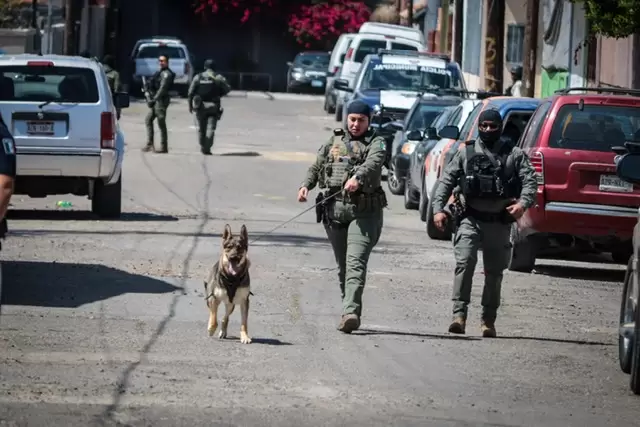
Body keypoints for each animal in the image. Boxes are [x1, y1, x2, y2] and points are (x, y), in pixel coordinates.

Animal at [298, 100, 388, 334]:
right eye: (353, 119)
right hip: (336, 232)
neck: (355, 137)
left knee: (351, 265)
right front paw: (304, 189)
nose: (354, 125)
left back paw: (350, 317)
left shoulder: (379, 147)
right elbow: (318, 163)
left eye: (360, 119)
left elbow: (373, 158)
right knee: (342, 265)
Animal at [432, 108, 536, 340]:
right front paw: (457, 320)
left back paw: (488, 324)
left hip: (498, 245)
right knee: (471, 265)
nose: (486, 129)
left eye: (492, 125)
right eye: (484, 125)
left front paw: (517, 207)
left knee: (494, 273)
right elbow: (448, 179)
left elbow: (530, 179)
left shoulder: (520, 158)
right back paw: (459, 322)